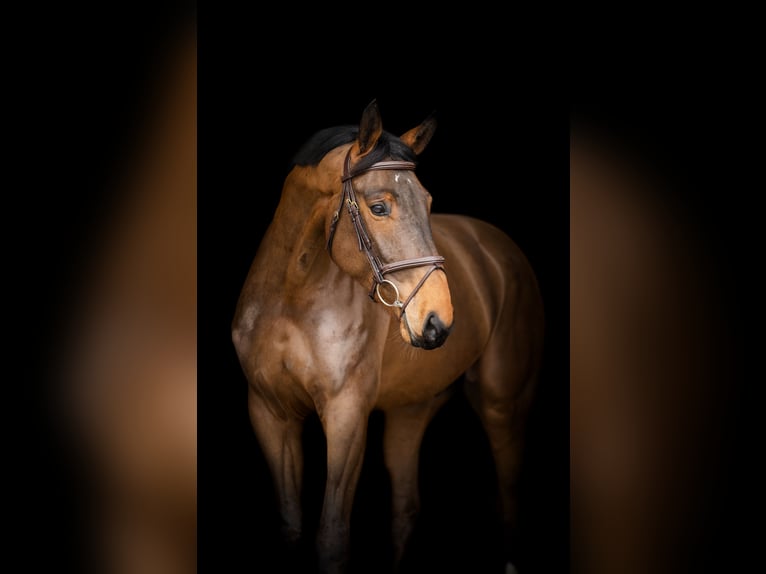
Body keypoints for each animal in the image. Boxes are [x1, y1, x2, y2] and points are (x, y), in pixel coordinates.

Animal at [232, 100, 544, 574]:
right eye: (379, 207)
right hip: (410, 409)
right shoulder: (270, 413)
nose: (437, 320)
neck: (291, 301)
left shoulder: (346, 416)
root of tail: (497, 247)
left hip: (503, 405)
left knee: (509, 498)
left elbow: (332, 538)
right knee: (406, 509)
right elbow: (290, 527)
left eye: (428, 201)